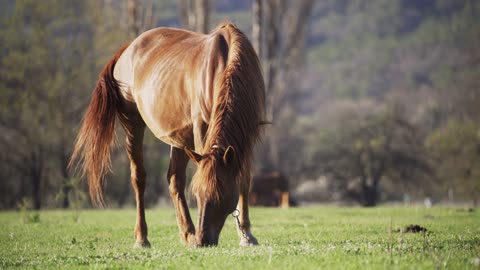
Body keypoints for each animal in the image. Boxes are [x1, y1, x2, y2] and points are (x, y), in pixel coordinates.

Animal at [70, 22, 266, 248]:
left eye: (223, 193)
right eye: (197, 194)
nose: (203, 240)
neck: (227, 63)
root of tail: (127, 49)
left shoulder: (248, 135)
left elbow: (243, 180)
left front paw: (246, 235)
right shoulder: (201, 127)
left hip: (179, 139)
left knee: (174, 179)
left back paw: (188, 233)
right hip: (133, 124)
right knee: (139, 177)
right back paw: (143, 238)